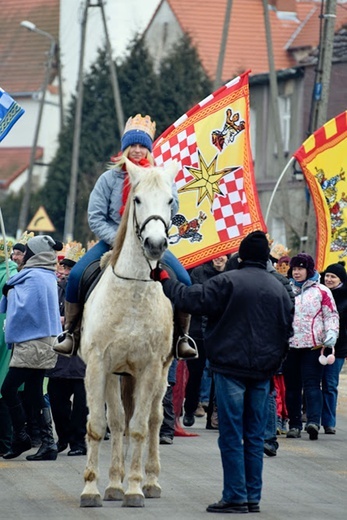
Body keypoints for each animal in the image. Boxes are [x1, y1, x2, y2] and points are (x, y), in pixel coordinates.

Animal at [80, 157, 178, 508]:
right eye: (136, 199)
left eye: (170, 200)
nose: (155, 245)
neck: (134, 291)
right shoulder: (100, 366)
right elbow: (101, 424)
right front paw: (93, 489)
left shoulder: (149, 368)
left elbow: (138, 427)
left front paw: (134, 489)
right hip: (117, 374)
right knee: (118, 421)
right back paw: (113, 484)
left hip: (159, 374)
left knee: (153, 420)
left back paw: (149, 481)